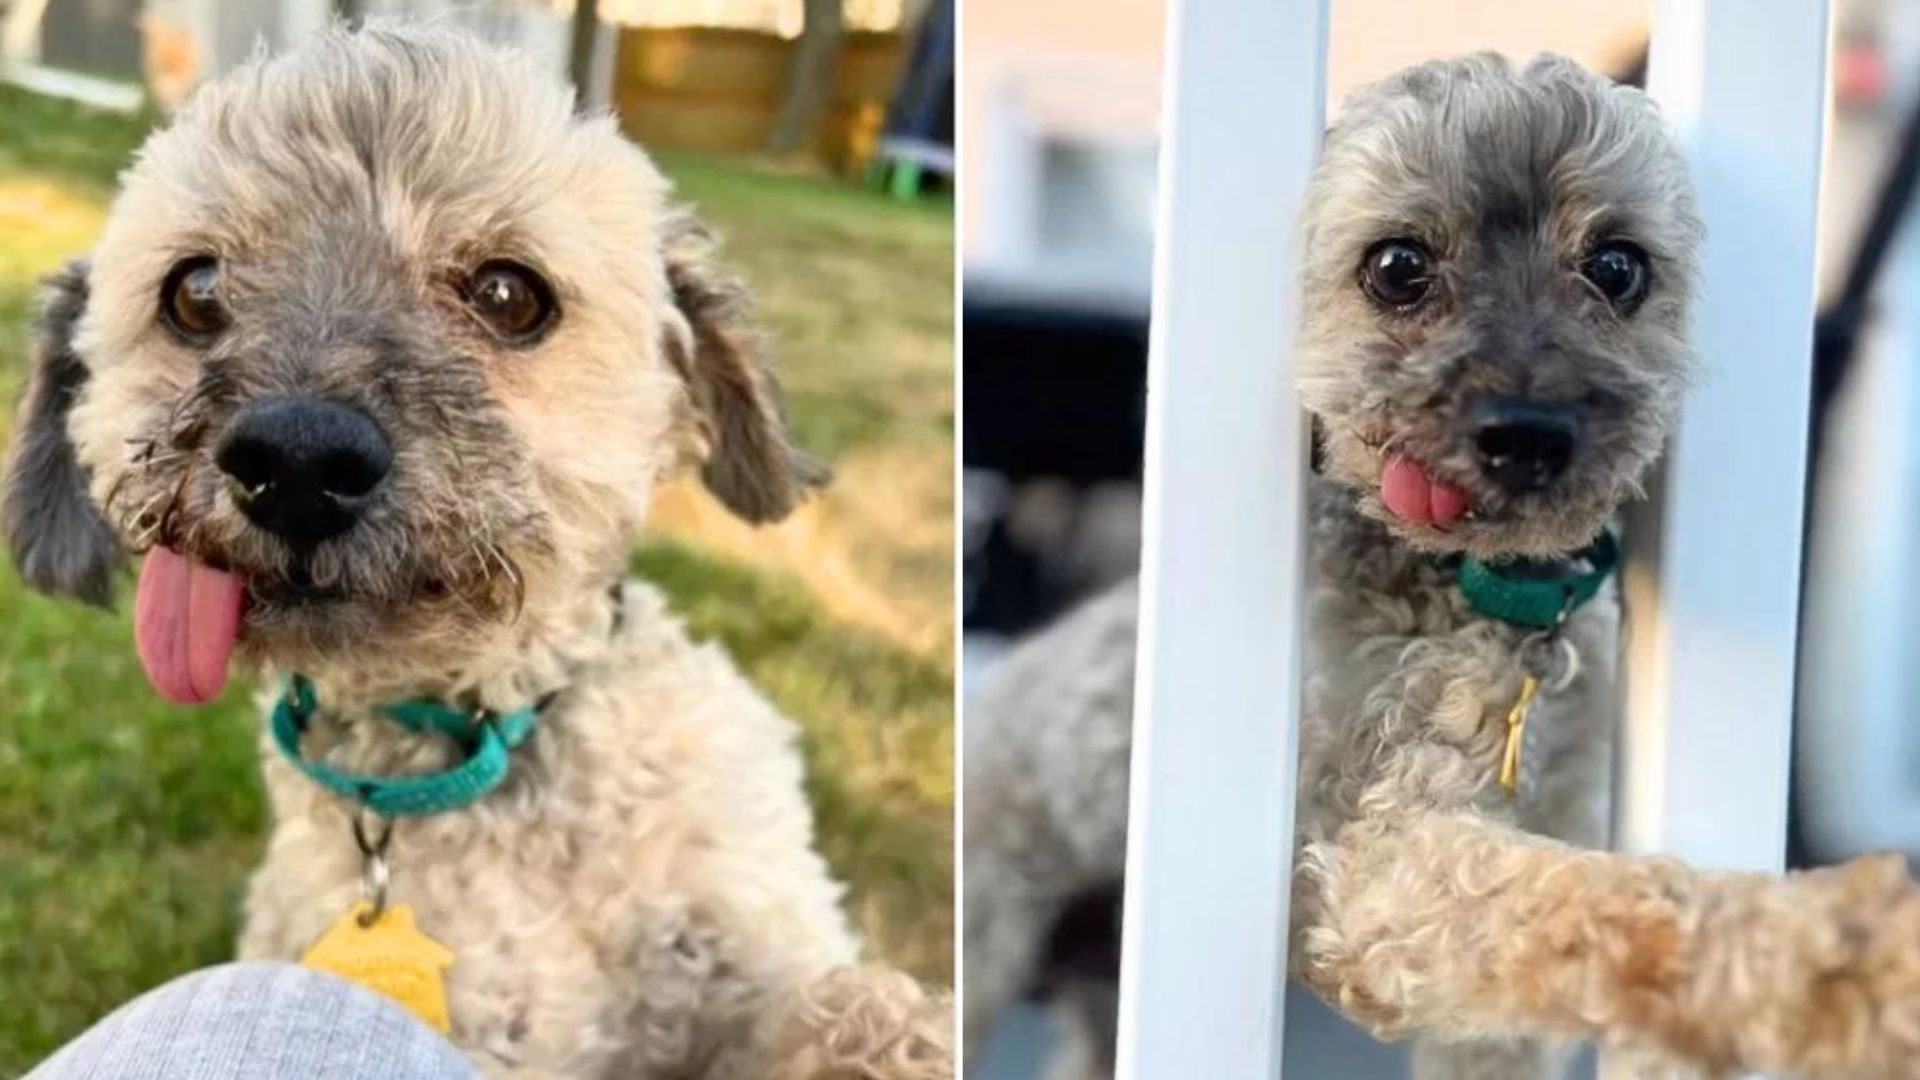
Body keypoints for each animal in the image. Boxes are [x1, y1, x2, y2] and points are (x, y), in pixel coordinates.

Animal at [5, 18, 952, 1076]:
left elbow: (823, 998)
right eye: (195, 292)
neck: (475, 747)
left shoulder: (751, 923)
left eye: (508, 293)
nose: (297, 458)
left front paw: (900, 1032)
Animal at [967, 56, 1920, 1076]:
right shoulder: (1364, 861)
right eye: (1397, 267)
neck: (1479, 596)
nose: (1529, 435)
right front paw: (1824, 952)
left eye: (1618, 266)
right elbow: (1586, 898)